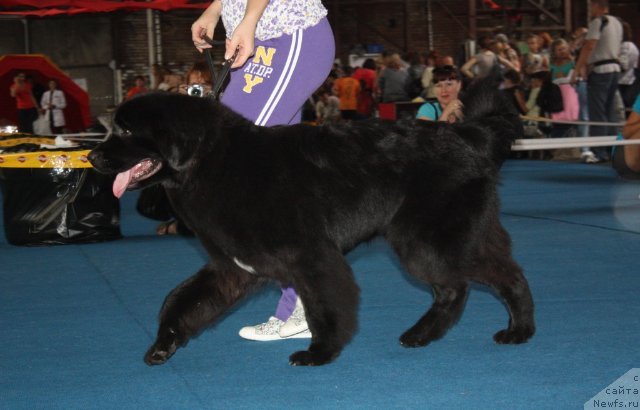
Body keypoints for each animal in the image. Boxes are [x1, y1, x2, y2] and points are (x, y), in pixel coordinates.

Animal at [86, 78, 536, 366]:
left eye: (125, 130)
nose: (91, 156)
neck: (212, 162)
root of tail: (467, 134)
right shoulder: (230, 266)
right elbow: (180, 300)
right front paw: (164, 344)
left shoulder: (313, 256)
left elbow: (325, 305)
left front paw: (320, 353)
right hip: (445, 238)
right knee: (485, 280)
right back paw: (465, 333)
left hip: (426, 241)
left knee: (475, 282)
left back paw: (493, 331)